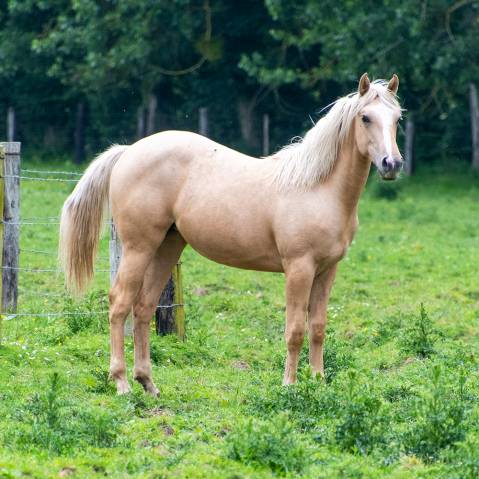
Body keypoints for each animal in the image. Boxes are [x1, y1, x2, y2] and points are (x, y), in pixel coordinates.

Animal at [60, 74, 404, 398]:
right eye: (365, 117)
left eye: (398, 118)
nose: (392, 164)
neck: (318, 188)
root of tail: (129, 151)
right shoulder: (299, 268)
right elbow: (294, 330)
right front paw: (290, 386)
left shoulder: (327, 270)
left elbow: (317, 328)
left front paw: (318, 383)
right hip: (138, 248)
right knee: (119, 304)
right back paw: (121, 382)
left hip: (166, 247)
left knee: (143, 307)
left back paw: (148, 383)